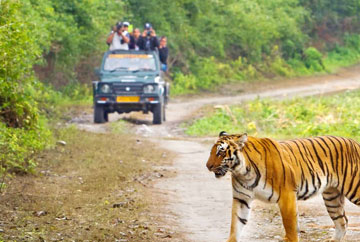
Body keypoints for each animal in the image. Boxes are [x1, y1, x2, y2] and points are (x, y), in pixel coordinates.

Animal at [205, 131, 360, 241]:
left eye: (221, 151)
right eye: (212, 151)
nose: (208, 166)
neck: (243, 172)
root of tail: (355, 142)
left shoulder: (287, 195)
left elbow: (290, 227)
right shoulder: (241, 199)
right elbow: (236, 224)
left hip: (354, 189)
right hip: (332, 197)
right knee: (342, 221)